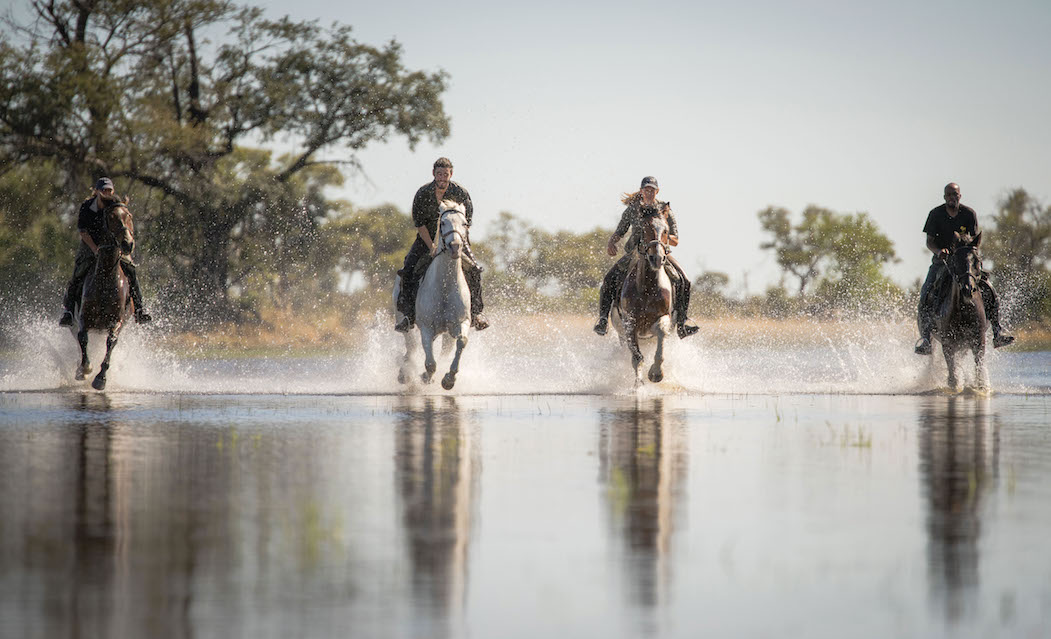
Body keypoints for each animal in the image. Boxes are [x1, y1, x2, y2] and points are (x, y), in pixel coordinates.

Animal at [613, 208, 676, 384]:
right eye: (644, 228)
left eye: (666, 230)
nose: (657, 258)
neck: (648, 288)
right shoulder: (630, 325)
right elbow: (637, 358)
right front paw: (638, 386)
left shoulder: (662, 319)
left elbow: (661, 332)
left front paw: (656, 373)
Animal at [933, 231, 987, 388]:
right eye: (956, 261)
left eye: (977, 261)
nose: (968, 289)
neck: (963, 310)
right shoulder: (948, 343)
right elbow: (953, 375)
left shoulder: (979, 340)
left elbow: (979, 371)